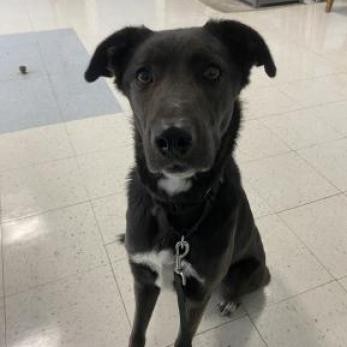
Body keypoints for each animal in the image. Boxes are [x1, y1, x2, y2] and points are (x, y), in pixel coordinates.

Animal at [85, 19, 278, 347]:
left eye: (212, 72)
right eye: (143, 75)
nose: (173, 137)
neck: (175, 206)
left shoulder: (198, 293)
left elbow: (183, 337)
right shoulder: (143, 281)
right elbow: (137, 331)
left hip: (250, 270)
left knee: (241, 284)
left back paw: (231, 300)